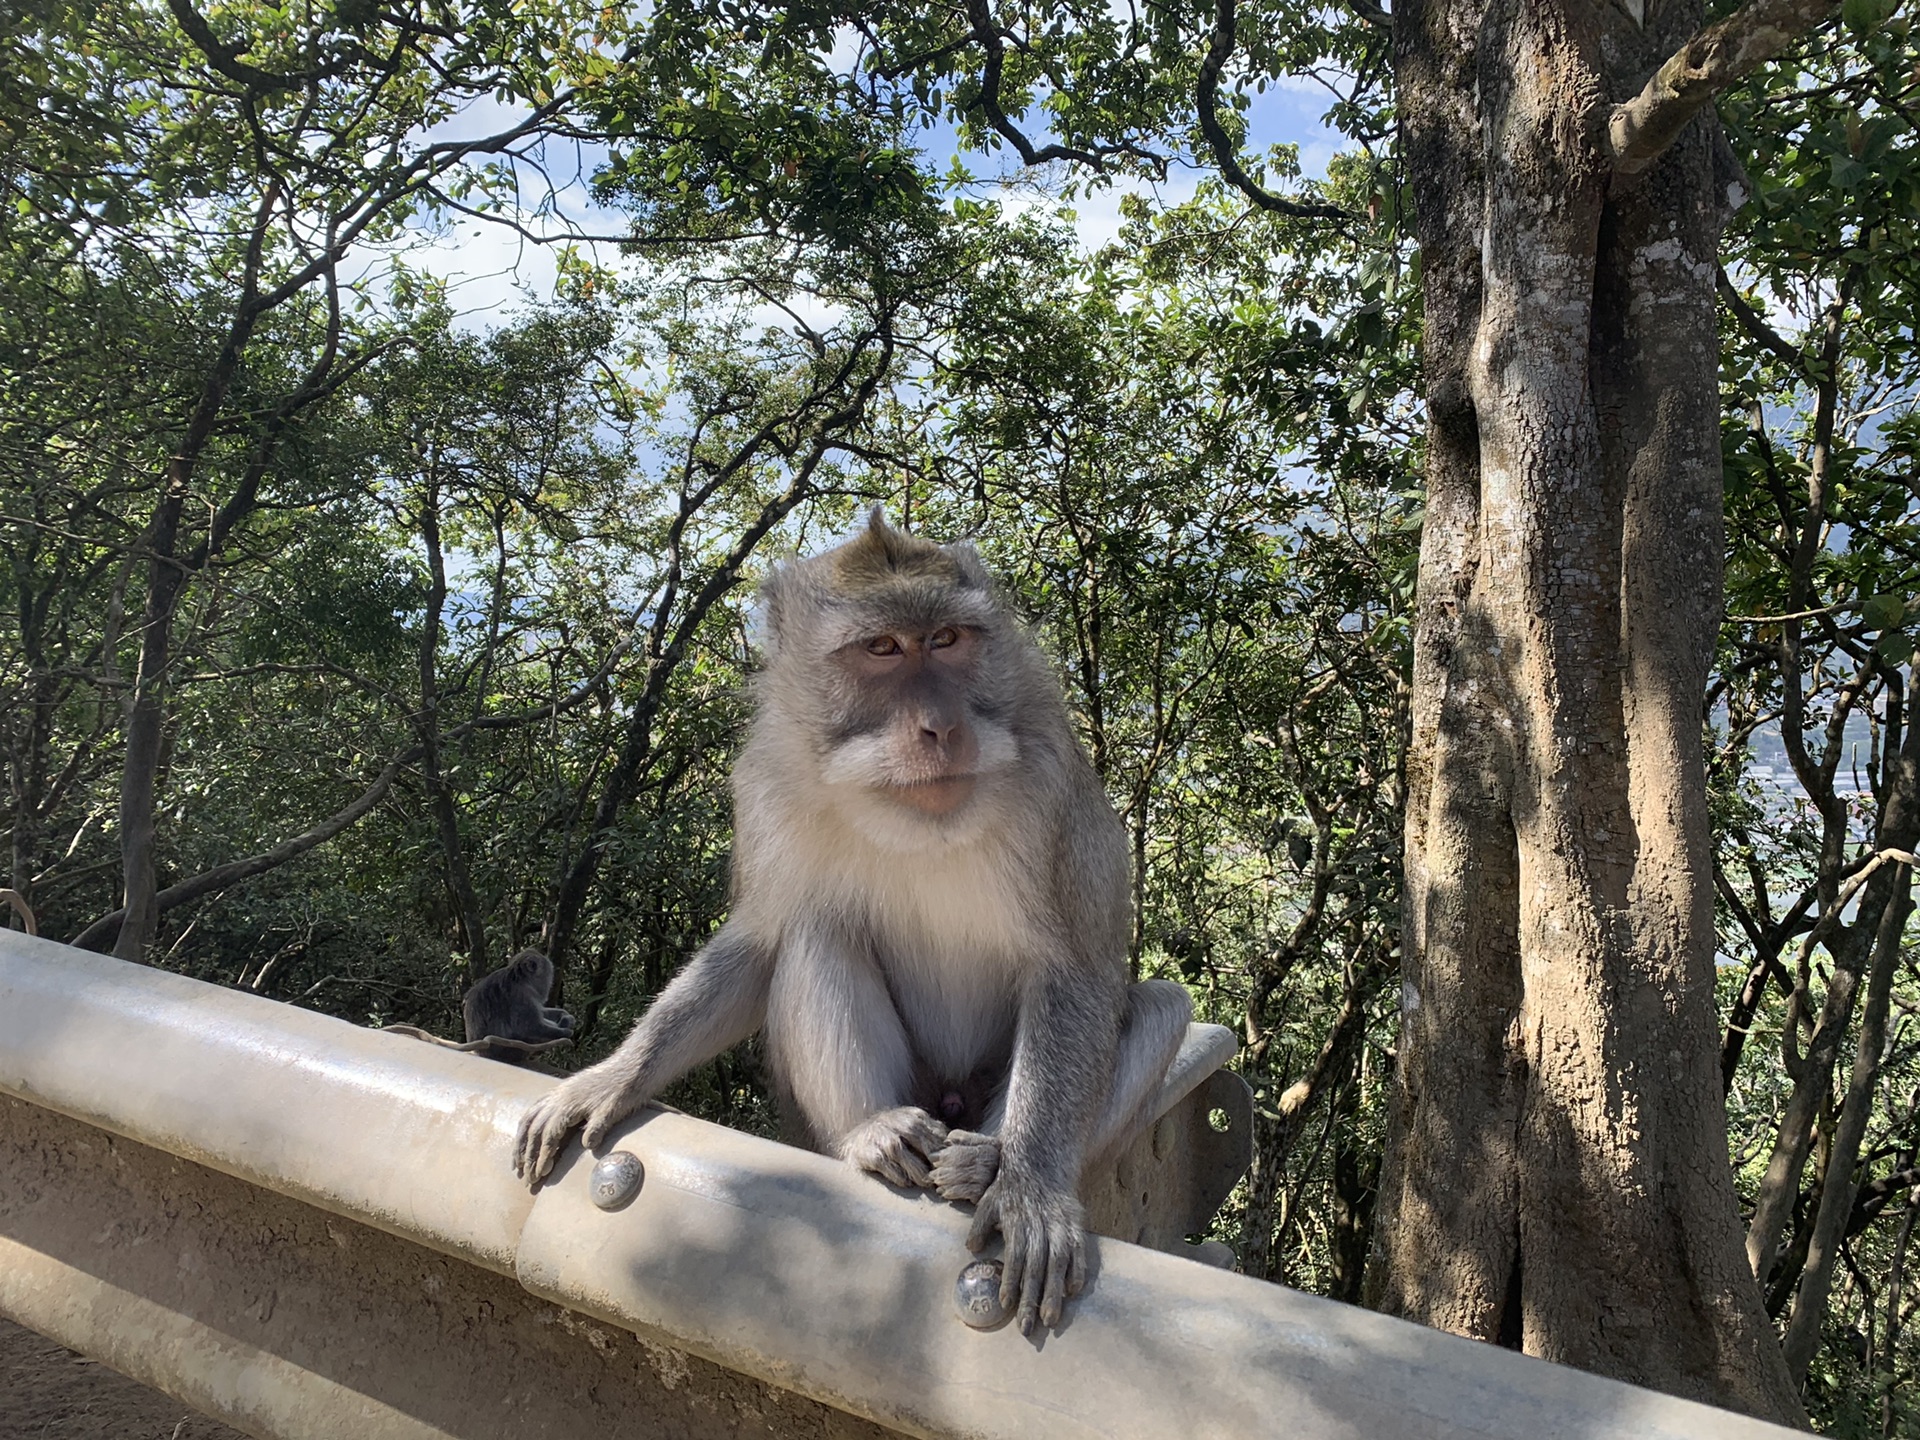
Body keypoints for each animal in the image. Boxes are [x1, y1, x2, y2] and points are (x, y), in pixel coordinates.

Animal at [518, 514, 1190, 1336]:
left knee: (1162, 1007)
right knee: (817, 933)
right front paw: (612, 1076)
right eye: (882, 649)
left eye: (947, 639)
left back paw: (982, 1162)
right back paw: (871, 1134)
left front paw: (1030, 1186)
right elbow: (761, 941)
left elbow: (1074, 970)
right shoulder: (768, 788)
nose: (941, 726)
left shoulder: (1052, 786)